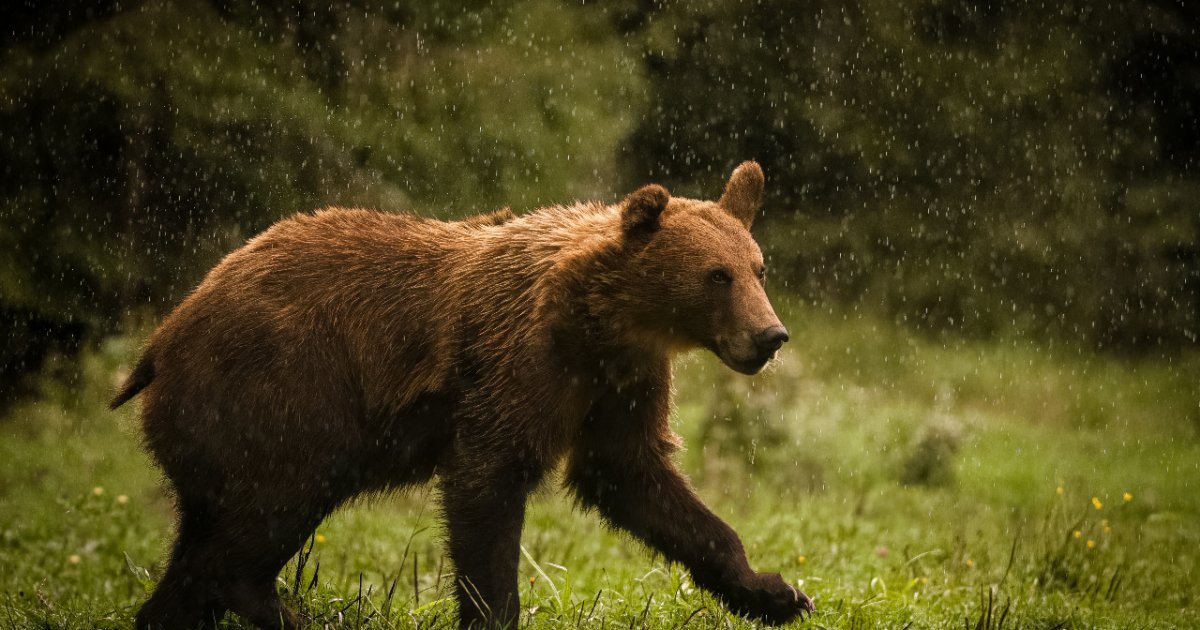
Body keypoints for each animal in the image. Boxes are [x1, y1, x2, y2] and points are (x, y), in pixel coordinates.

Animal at [112, 160, 811, 624]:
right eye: (716, 275)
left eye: (757, 267)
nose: (770, 335)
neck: (598, 323)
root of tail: (164, 336)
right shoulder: (517, 366)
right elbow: (489, 486)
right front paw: (493, 612)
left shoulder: (623, 384)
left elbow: (635, 475)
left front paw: (775, 591)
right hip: (279, 396)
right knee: (270, 510)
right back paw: (284, 612)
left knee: (202, 539)